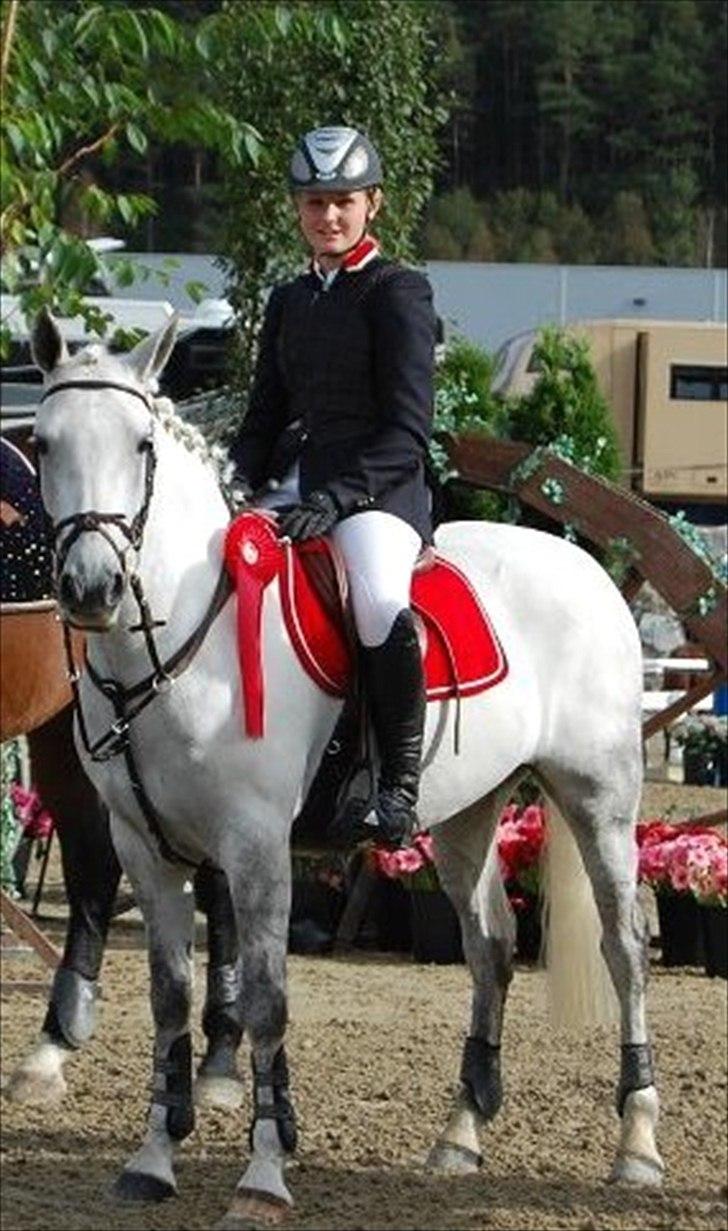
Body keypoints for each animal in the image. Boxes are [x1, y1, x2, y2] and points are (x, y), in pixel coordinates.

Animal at [30, 307, 663, 1228]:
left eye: (142, 444)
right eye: (43, 444)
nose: (90, 587)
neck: (181, 638)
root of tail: (582, 562)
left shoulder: (255, 847)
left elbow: (266, 1002)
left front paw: (263, 1173)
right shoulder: (146, 847)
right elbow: (168, 996)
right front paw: (152, 1158)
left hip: (599, 798)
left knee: (624, 947)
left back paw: (637, 1145)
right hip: (465, 814)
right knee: (491, 946)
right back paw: (461, 1133)